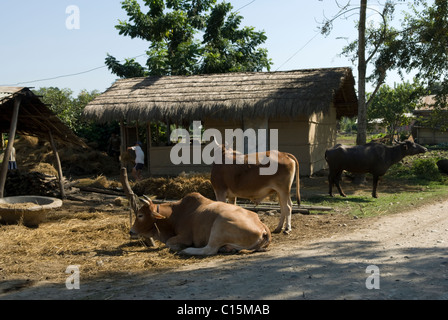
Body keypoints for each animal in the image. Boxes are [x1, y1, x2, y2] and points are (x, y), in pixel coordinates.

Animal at [129, 192, 270, 255]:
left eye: (140, 215)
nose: (131, 231)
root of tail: (262, 227)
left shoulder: (185, 237)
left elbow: (169, 242)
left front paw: (180, 247)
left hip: (219, 225)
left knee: (209, 250)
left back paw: (187, 250)